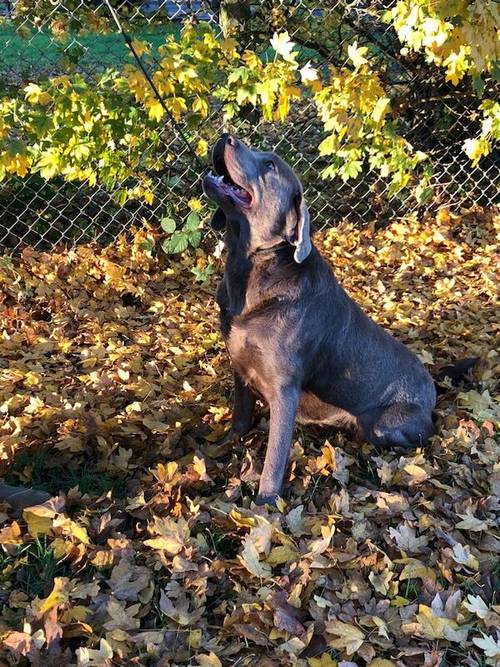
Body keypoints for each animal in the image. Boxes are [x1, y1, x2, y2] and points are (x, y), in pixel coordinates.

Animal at [200, 133, 468, 504]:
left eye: (270, 164)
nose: (227, 136)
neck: (251, 272)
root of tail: (432, 385)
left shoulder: (284, 390)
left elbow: (274, 458)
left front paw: (264, 505)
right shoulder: (239, 365)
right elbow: (239, 418)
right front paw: (224, 446)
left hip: (383, 425)